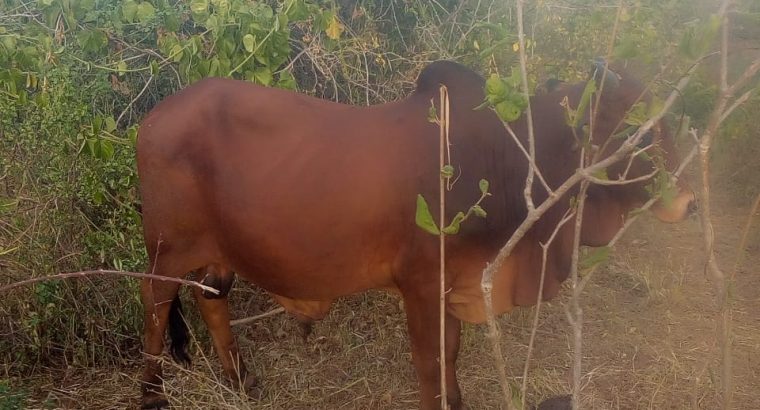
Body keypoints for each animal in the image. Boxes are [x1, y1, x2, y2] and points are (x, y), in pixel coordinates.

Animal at [137, 59, 696, 408]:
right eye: (636, 130)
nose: (689, 203)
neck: (505, 155)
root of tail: (153, 117)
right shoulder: (422, 285)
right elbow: (429, 362)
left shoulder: (455, 283)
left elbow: (451, 355)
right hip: (168, 247)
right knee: (156, 304)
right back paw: (153, 394)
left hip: (218, 251)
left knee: (211, 298)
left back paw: (240, 381)